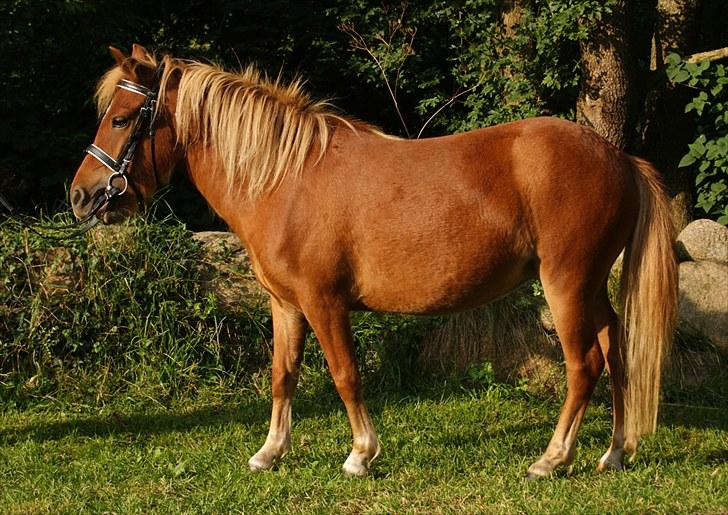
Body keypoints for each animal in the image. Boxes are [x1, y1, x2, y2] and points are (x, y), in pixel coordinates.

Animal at [69, 46, 676, 482]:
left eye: (122, 119)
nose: (81, 196)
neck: (285, 178)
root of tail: (619, 158)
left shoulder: (324, 303)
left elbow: (345, 375)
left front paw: (361, 454)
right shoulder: (285, 304)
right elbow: (283, 375)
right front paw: (270, 452)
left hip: (566, 284)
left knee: (584, 366)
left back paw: (551, 459)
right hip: (592, 288)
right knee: (617, 352)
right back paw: (614, 453)